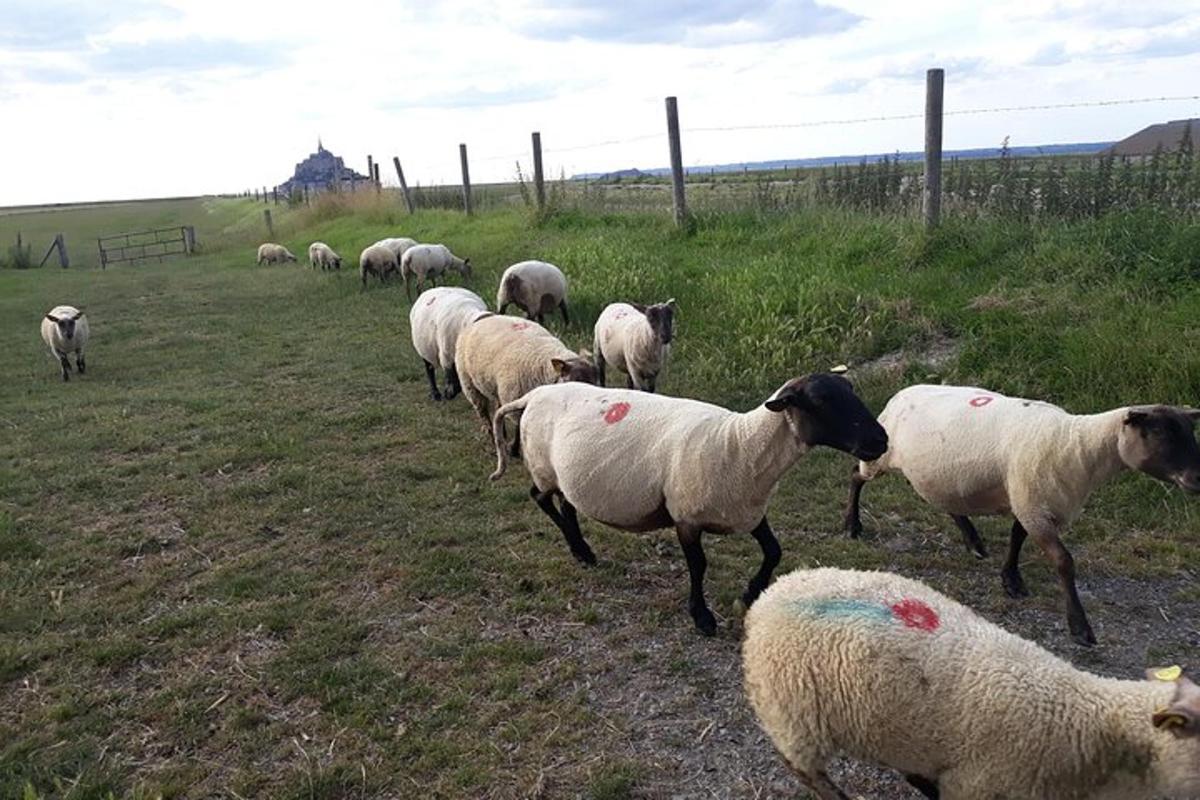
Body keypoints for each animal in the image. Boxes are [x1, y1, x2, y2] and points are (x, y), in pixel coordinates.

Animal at [453, 311, 595, 448]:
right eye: (574, 381)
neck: (544, 365)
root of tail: (480, 320)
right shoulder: (515, 399)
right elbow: (518, 427)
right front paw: (514, 448)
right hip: (469, 385)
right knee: (483, 412)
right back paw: (493, 439)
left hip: (496, 387)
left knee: (498, 407)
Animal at [487, 371, 892, 633]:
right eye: (822, 400)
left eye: (852, 390)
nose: (881, 440)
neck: (741, 447)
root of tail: (533, 395)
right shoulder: (686, 518)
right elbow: (699, 566)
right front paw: (702, 617)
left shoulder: (747, 512)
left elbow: (774, 551)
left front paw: (750, 592)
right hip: (544, 469)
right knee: (540, 498)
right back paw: (579, 548)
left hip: (567, 476)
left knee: (567, 504)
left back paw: (582, 551)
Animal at [844, 383, 1200, 652]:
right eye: (1159, 433)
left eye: (1191, 435)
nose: (1197, 478)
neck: (1077, 445)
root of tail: (903, 392)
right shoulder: (1033, 503)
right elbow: (1064, 561)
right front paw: (1080, 629)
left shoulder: (1030, 500)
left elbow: (1017, 537)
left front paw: (1011, 579)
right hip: (880, 455)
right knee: (856, 476)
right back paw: (852, 525)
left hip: (940, 475)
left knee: (947, 504)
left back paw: (974, 542)